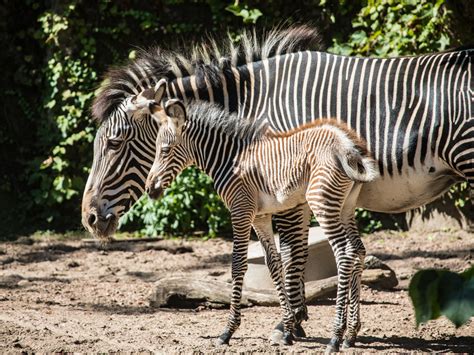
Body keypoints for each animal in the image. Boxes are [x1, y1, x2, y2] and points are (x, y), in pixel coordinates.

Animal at [137, 98, 378, 350]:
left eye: (165, 150)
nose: (149, 189)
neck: (228, 159)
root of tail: (347, 146)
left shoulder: (240, 210)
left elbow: (237, 264)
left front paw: (228, 331)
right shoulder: (260, 217)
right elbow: (273, 264)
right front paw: (288, 328)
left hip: (322, 203)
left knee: (344, 254)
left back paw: (335, 336)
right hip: (346, 207)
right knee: (358, 251)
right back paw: (351, 334)